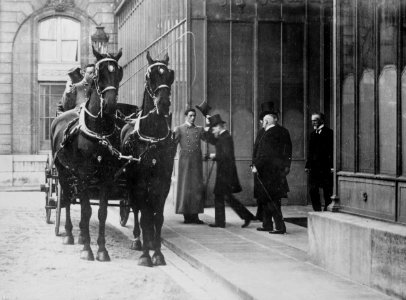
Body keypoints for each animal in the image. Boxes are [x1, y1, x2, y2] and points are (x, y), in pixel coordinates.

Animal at [49, 46, 122, 260]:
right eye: (99, 73)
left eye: (118, 72)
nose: (110, 105)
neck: (99, 131)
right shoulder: (83, 174)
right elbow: (86, 210)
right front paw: (88, 250)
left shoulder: (106, 176)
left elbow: (101, 212)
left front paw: (102, 250)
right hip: (63, 172)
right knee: (66, 199)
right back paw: (69, 234)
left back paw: (81, 235)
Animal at [119, 52, 175, 268]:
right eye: (149, 76)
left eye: (170, 75)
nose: (163, 104)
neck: (152, 138)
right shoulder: (140, 182)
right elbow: (143, 216)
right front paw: (145, 256)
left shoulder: (163, 182)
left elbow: (157, 217)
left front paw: (157, 253)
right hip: (131, 184)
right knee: (136, 210)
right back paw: (137, 240)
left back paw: (149, 241)